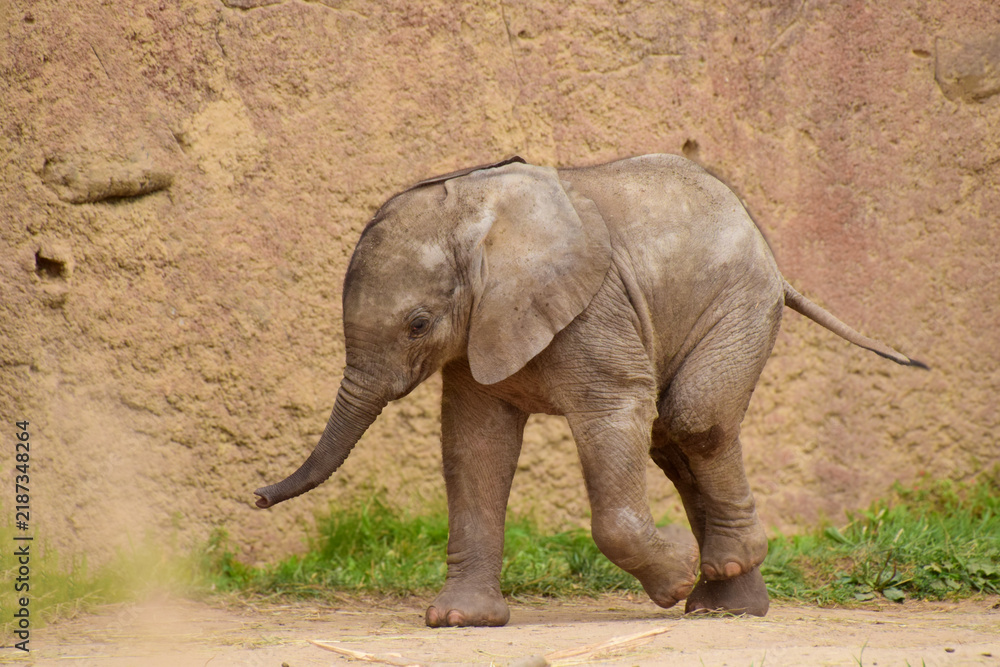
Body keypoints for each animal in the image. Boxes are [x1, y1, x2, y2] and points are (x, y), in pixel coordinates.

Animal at [254, 154, 925, 627]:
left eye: (418, 323)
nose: (258, 497)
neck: (480, 217)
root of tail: (769, 252)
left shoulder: (594, 309)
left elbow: (613, 412)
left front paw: (673, 577)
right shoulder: (480, 331)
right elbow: (474, 445)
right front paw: (458, 621)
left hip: (741, 302)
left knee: (694, 419)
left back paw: (719, 576)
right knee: (669, 439)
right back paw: (728, 606)